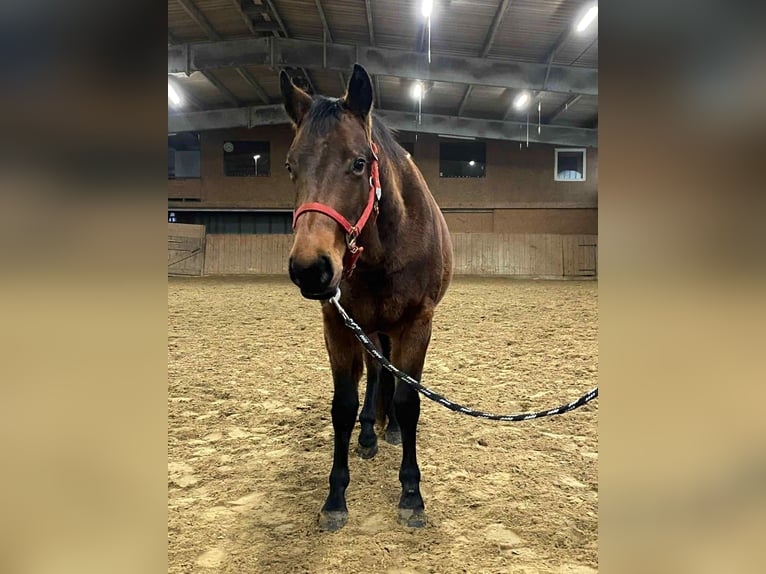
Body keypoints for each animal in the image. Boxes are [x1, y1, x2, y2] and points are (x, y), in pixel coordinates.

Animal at [281, 63, 453, 531]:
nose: (311, 268)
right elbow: (343, 405)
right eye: (290, 166)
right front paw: (335, 497)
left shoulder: (417, 325)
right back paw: (371, 432)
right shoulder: (339, 326)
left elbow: (409, 402)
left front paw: (411, 494)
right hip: (370, 329)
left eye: (359, 163)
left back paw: (388, 428)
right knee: (377, 374)